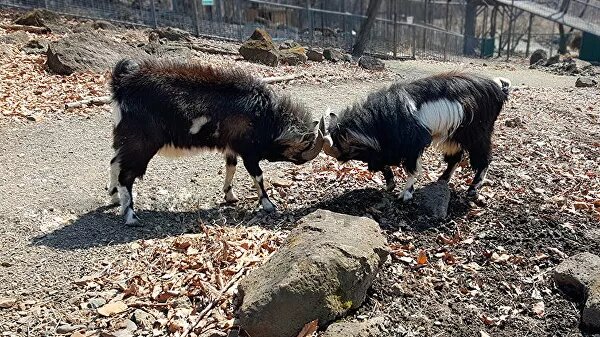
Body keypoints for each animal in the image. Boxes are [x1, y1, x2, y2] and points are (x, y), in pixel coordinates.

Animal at [108, 60, 324, 223]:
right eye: (302, 147)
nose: (303, 161)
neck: (265, 116)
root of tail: (121, 84)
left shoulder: (231, 147)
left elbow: (231, 167)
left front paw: (229, 196)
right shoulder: (249, 152)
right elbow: (258, 175)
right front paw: (268, 204)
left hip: (125, 141)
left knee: (115, 163)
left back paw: (114, 197)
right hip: (140, 144)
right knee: (126, 175)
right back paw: (130, 216)